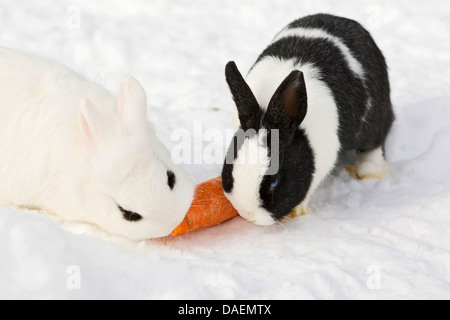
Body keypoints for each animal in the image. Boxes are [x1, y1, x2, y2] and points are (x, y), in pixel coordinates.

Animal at [221, 14, 394, 225]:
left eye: (274, 182)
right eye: (229, 169)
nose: (249, 215)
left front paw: (298, 211)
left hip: (375, 118)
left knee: (375, 143)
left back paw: (369, 171)